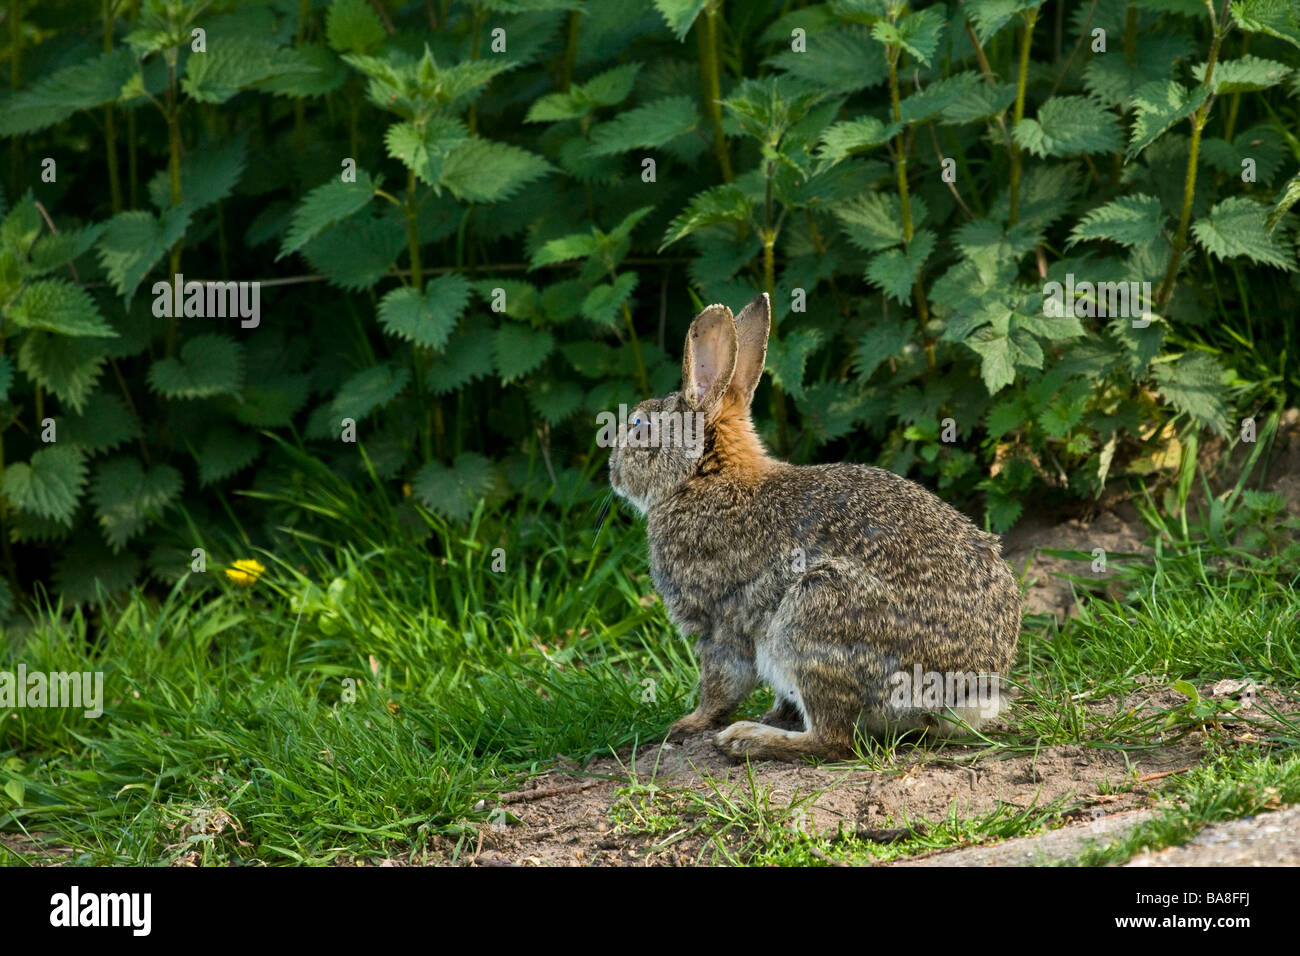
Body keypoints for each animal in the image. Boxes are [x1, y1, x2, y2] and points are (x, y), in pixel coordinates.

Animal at [608, 292, 1022, 762]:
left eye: (639, 425)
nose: (613, 471)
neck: (703, 477)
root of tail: (964, 691)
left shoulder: (718, 621)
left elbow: (721, 683)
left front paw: (689, 724)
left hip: (812, 616)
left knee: (832, 739)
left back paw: (746, 739)